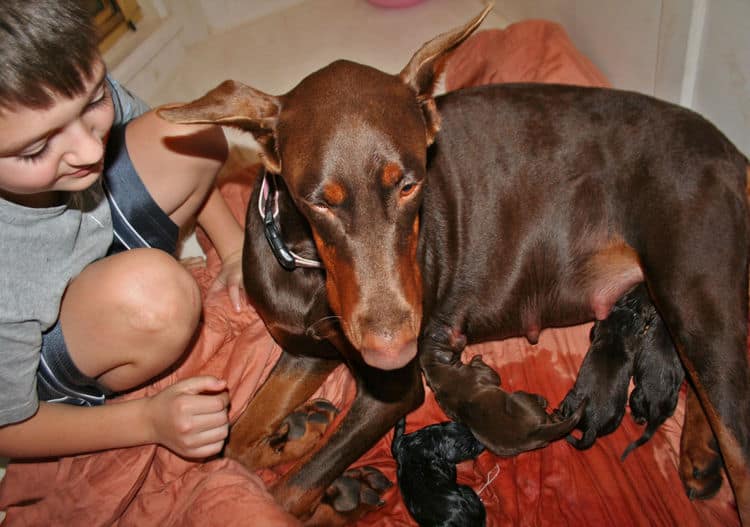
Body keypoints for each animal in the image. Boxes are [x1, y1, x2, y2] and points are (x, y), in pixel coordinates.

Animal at [160, 5, 750, 527]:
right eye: (318, 202)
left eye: (409, 184)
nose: (393, 351)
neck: (306, 265)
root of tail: (729, 150)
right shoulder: (307, 350)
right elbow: (233, 447)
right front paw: (298, 435)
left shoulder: (393, 394)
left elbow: (283, 499)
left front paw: (338, 496)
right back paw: (700, 453)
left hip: (693, 290)